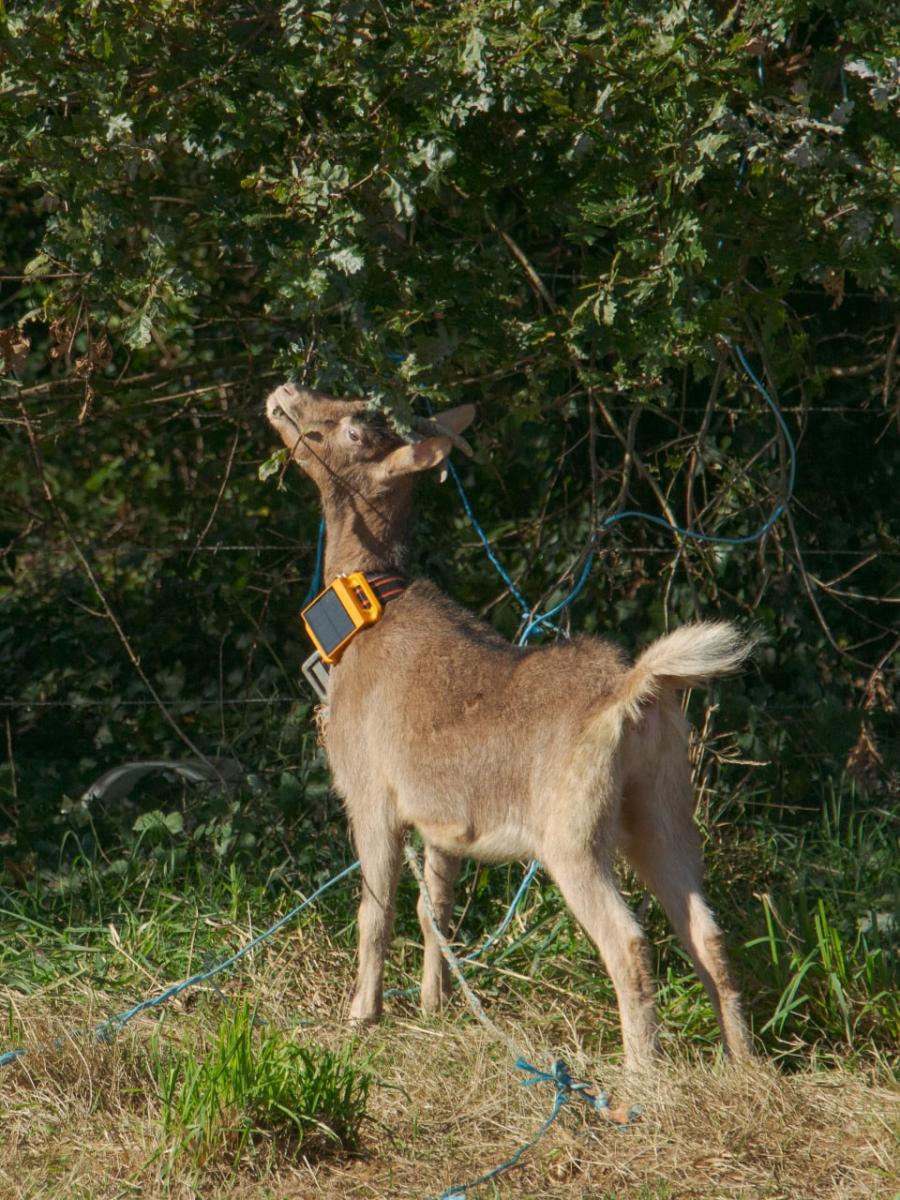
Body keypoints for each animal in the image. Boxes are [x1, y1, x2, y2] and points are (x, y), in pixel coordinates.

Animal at [266, 384, 753, 1070]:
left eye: (355, 429)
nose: (285, 392)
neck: (363, 626)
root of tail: (633, 694)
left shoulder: (370, 793)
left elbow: (375, 913)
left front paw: (362, 1017)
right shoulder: (441, 819)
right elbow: (435, 911)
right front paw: (435, 1008)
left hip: (572, 832)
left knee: (629, 942)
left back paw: (640, 1076)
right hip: (665, 809)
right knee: (708, 934)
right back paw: (745, 1066)